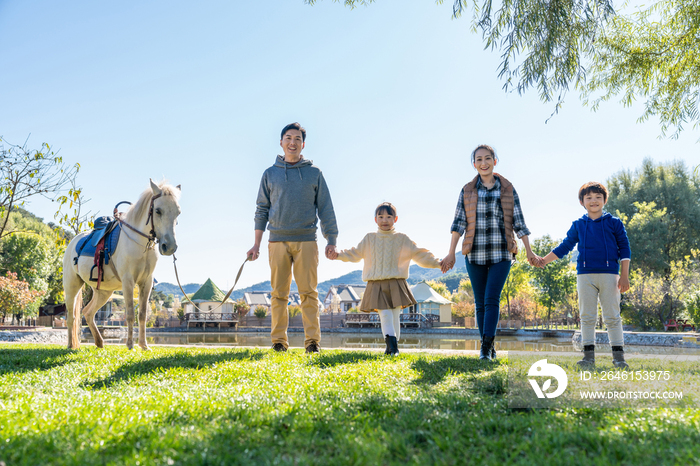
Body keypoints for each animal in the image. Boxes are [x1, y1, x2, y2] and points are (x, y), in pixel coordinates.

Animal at [63, 179, 182, 350]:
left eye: (178, 212)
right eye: (158, 211)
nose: (170, 247)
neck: (140, 244)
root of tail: (73, 242)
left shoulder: (146, 282)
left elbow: (142, 314)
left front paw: (144, 345)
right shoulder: (128, 281)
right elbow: (130, 314)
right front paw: (130, 345)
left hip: (103, 292)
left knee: (88, 312)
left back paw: (99, 343)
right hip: (71, 286)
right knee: (71, 317)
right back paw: (71, 345)